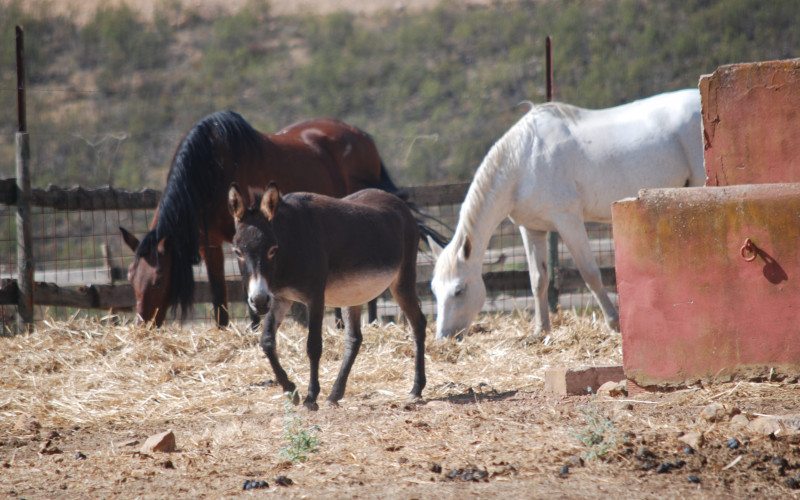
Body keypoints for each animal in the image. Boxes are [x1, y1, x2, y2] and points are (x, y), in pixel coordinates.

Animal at [121, 111, 410, 326]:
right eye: (130, 278)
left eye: (158, 281)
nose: (143, 325)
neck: (211, 169)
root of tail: (363, 137)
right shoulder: (211, 243)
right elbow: (219, 296)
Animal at [228, 184, 428, 410]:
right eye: (237, 252)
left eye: (272, 250)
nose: (259, 302)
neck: (290, 243)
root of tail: (398, 202)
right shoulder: (280, 298)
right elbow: (267, 341)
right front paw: (290, 390)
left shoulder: (315, 298)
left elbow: (313, 346)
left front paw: (310, 398)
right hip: (354, 293)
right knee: (354, 339)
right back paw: (335, 394)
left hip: (402, 282)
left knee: (418, 325)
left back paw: (416, 389)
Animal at [434, 90, 704, 340]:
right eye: (435, 290)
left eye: (459, 290)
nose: (443, 337)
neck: (523, 162)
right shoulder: (532, 229)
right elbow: (538, 279)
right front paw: (541, 328)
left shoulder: (568, 220)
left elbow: (590, 273)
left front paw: (614, 322)